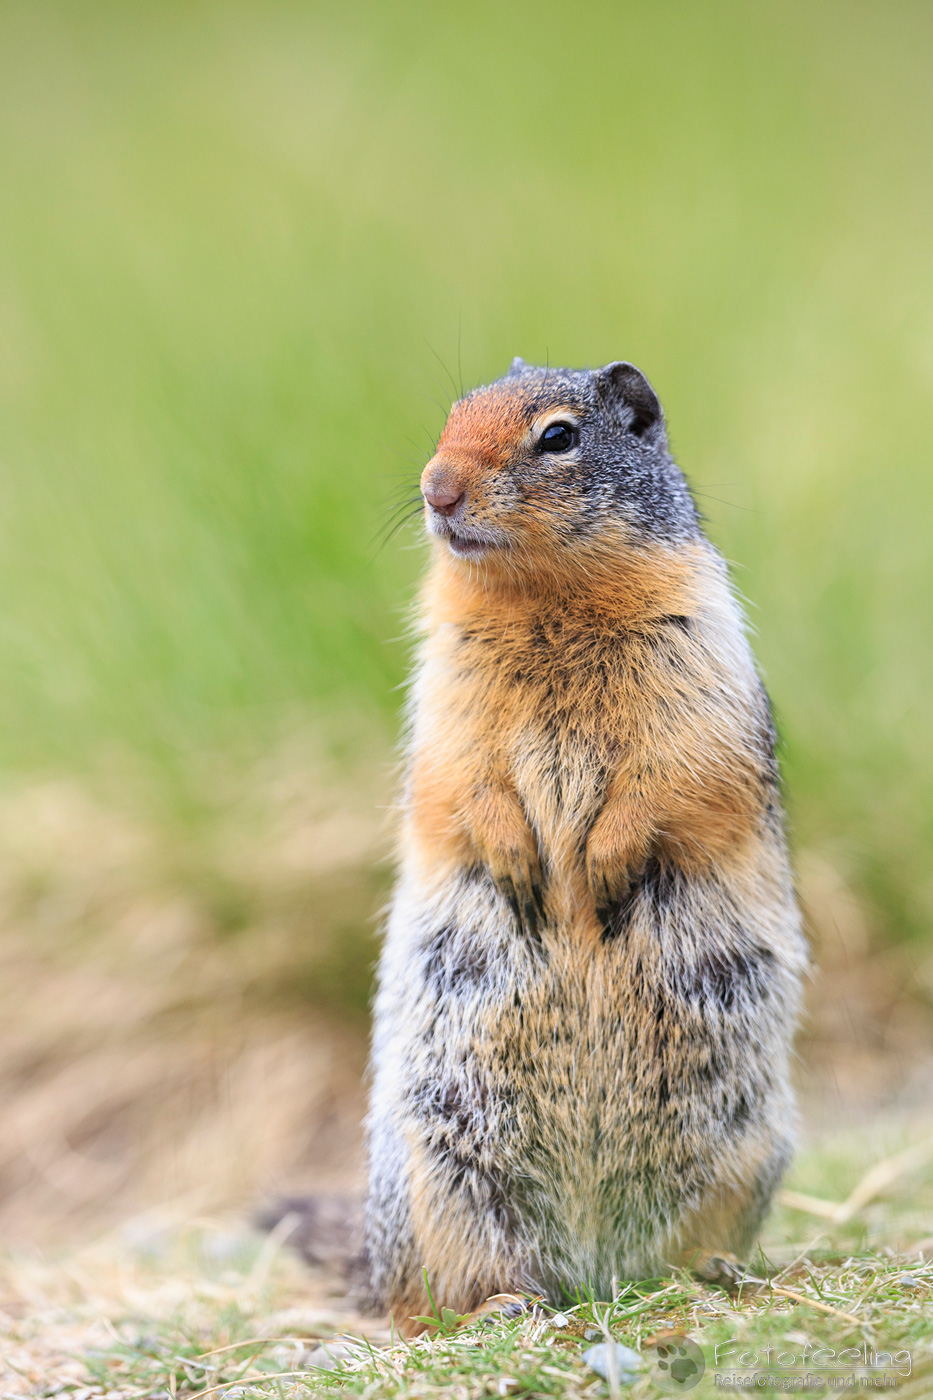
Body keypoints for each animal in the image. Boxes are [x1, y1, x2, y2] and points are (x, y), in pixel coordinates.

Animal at [363, 358, 806, 1332]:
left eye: (558, 436)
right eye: (452, 413)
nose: (435, 489)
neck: (543, 596)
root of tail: (593, 1271)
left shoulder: (694, 657)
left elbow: (673, 772)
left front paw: (602, 866)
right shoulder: (445, 684)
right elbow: (459, 775)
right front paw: (520, 861)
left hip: (745, 1142)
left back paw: (708, 1270)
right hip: (437, 1162)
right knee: (422, 1299)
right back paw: (499, 1305)